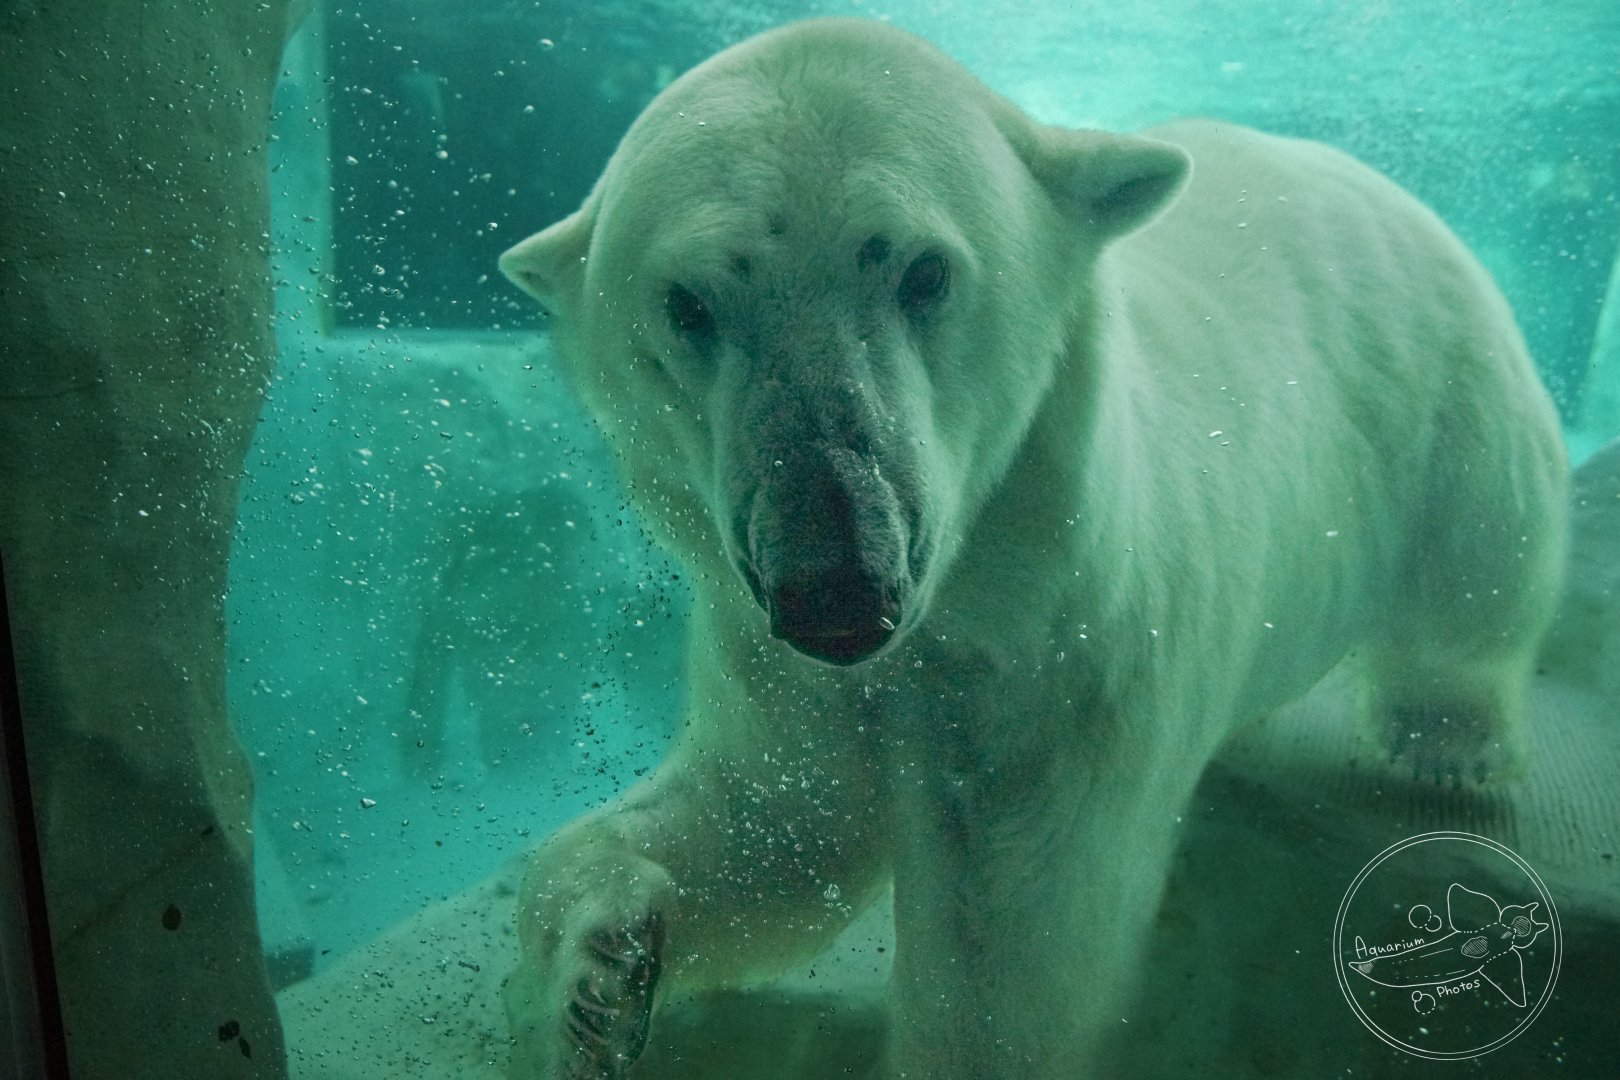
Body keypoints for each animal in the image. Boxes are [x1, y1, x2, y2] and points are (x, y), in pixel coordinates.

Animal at [495, 17, 1568, 1079]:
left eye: (923, 270)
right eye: (686, 304)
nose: (836, 589)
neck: (964, 604)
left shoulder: (1070, 665)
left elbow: (1009, 944)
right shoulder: (781, 666)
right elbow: (774, 831)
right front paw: (600, 982)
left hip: (1446, 382)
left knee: (1482, 561)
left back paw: (1446, 744)